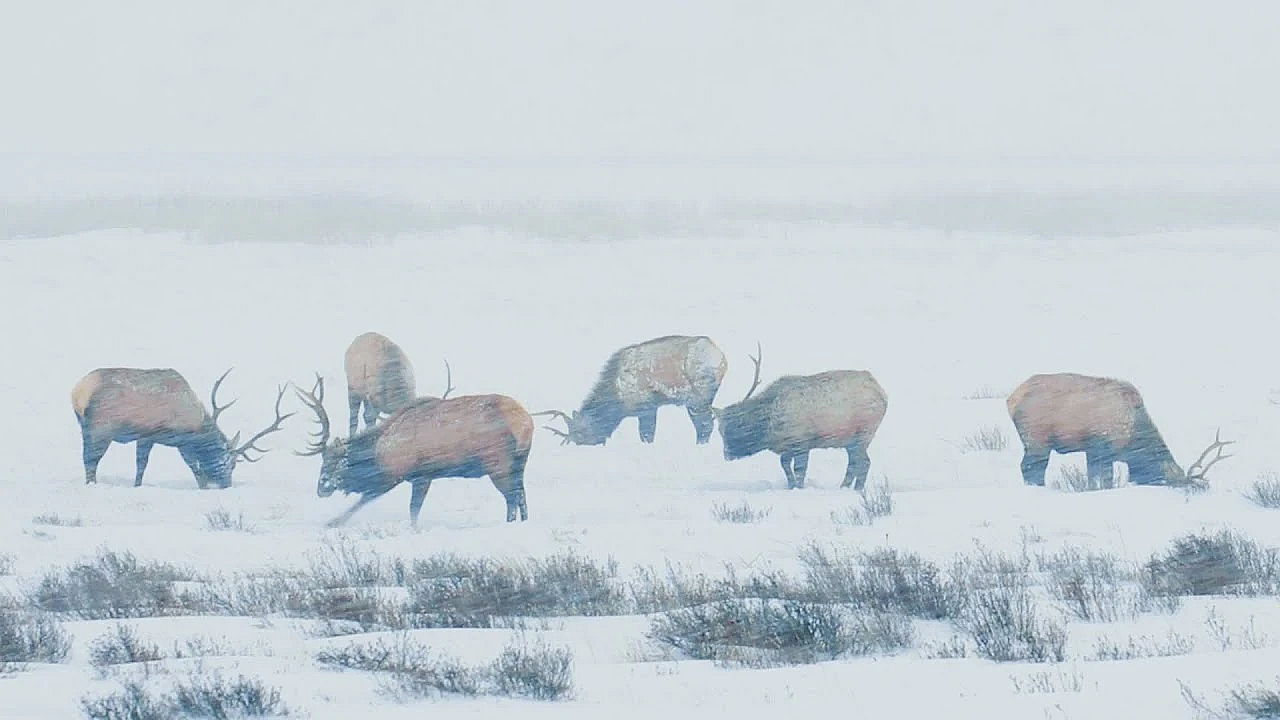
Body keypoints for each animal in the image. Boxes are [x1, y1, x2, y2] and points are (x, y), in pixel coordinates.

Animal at [70, 367, 293, 489]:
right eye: (231, 464)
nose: (226, 485)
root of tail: (78, 390)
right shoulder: (172, 438)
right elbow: (191, 465)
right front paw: (202, 486)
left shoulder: (148, 437)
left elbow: (141, 466)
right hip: (101, 428)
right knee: (91, 460)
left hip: (85, 427)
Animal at [292, 364, 535, 529]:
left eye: (333, 462)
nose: (321, 488)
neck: (380, 450)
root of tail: (525, 423)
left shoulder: (411, 474)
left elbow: (391, 504)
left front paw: (333, 522)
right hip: (520, 462)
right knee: (522, 496)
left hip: (498, 463)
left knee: (512, 498)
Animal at [535, 334, 727, 446]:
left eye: (581, 434)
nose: (578, 446)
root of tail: (721, 357)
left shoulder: (646, 407)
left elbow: (646, 434)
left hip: (697, 397)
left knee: (705, 425)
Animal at [713, 344, 889, 490]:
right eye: (720, 430)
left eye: (737, 426)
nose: (727, 454)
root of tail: (882, 393)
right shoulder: (788, 447)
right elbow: (785, 465)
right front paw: (791, 485)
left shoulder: (802, 443)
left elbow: (799, 470)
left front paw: (799, 486)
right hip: (850, 441)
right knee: (855, 463)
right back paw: (844, 487)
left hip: (863, 434)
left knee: (864, 462)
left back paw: (855, 489)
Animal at [1006, 372, 1233, 489]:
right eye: (1174, 483)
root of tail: (1011, 399)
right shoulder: (1101, 448)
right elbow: (1103, 479)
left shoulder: (1094, 452)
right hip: (1037, 440)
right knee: (1029, 467)